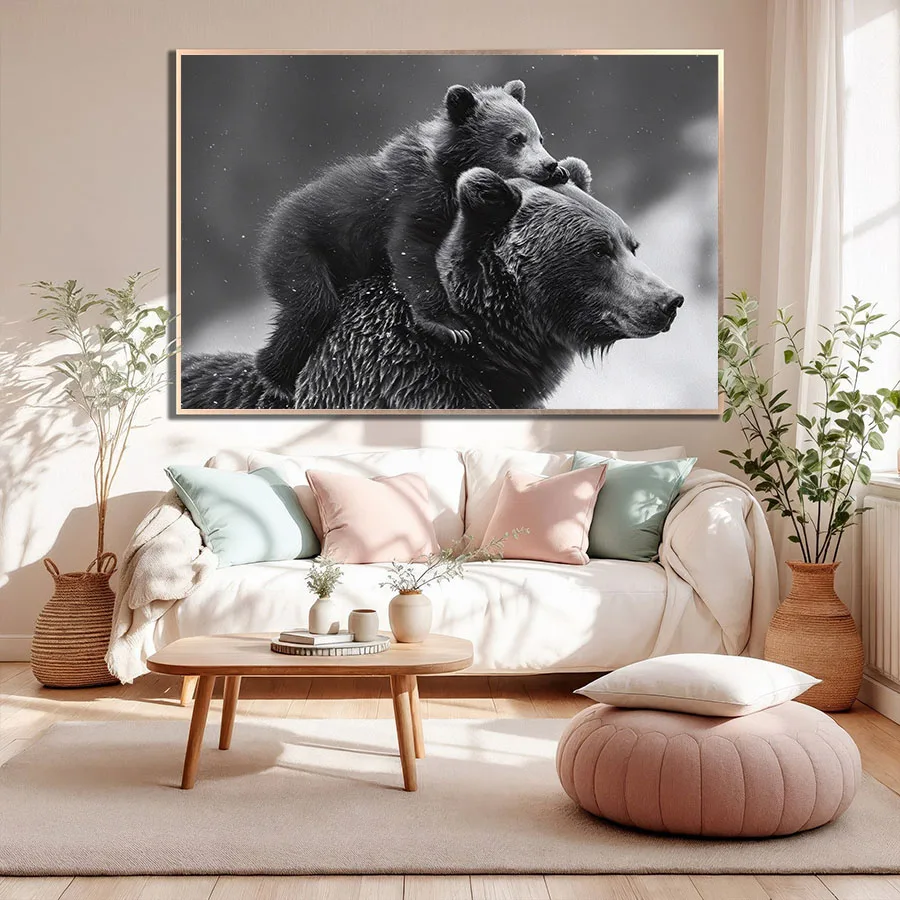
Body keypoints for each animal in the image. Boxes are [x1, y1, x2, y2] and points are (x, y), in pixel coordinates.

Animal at [253, 79, 567, 395]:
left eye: (539, 137)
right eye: (515, 139)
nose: (549, 164)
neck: (449, 170)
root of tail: (272, 221)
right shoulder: (415, 197)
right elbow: (412, 250)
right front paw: (451, 327)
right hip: (300, 248)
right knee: (312, 306)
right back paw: (275, 377)